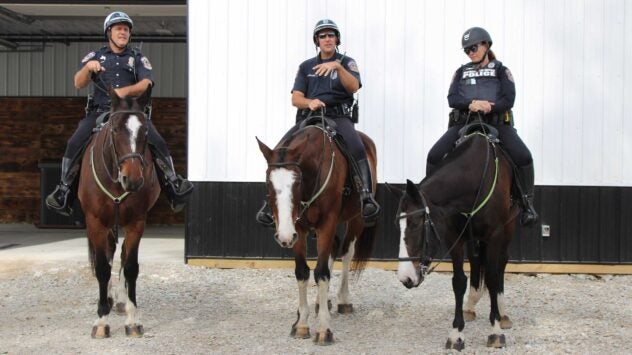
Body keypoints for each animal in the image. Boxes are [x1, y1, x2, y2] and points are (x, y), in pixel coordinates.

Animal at [77, 86, 160, 340]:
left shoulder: (136, 222)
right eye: (115, 130)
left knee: (120, 254)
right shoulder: (95, 222)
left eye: (145, 131)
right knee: (108, 254)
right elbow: (103, 268)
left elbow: (131, 266)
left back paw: (121, 301)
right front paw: (101, 322)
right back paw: (109, 298)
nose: (132, 180)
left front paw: (133, 321)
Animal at [256, 119, 378, 344]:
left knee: (346, 252)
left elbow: (321, 273)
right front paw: (301, 324)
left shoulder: (327, 223)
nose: (284, 236)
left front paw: (324, 329)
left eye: (297, 182)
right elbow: (302, 272)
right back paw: (322, 302)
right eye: (269, 182)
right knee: (334, 249)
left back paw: (343, 300)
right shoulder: (298, 229)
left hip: (356, 219)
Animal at [392, 124, 520, 352]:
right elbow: (459, 281)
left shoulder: (495, 235)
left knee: (501, 264)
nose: (405, 278)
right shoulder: (455, 237)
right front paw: (456, 333)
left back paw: (503, 313)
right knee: (477, 261)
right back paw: (470, 306)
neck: (475, 178)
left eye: (416, 224)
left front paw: (495, 331)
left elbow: (493, 277)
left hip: (509, 227)